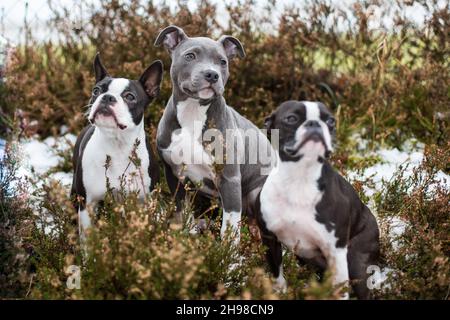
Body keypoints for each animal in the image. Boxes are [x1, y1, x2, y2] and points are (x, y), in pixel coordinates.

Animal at [73, 55, 164, 244]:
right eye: (96, 91)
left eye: (130, 96)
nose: (107, 97)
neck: (117, 144)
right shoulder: (87, 204)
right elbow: (88, 241)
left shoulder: (146, 203)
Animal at [256, 101, 380, 298]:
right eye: (291, 118)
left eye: (330, 121)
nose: (314, 124)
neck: (300, 178)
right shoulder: (269, 238)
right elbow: (277, 274)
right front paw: (280, 291)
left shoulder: (336, 251)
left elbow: (340, 289)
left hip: (357, 261)